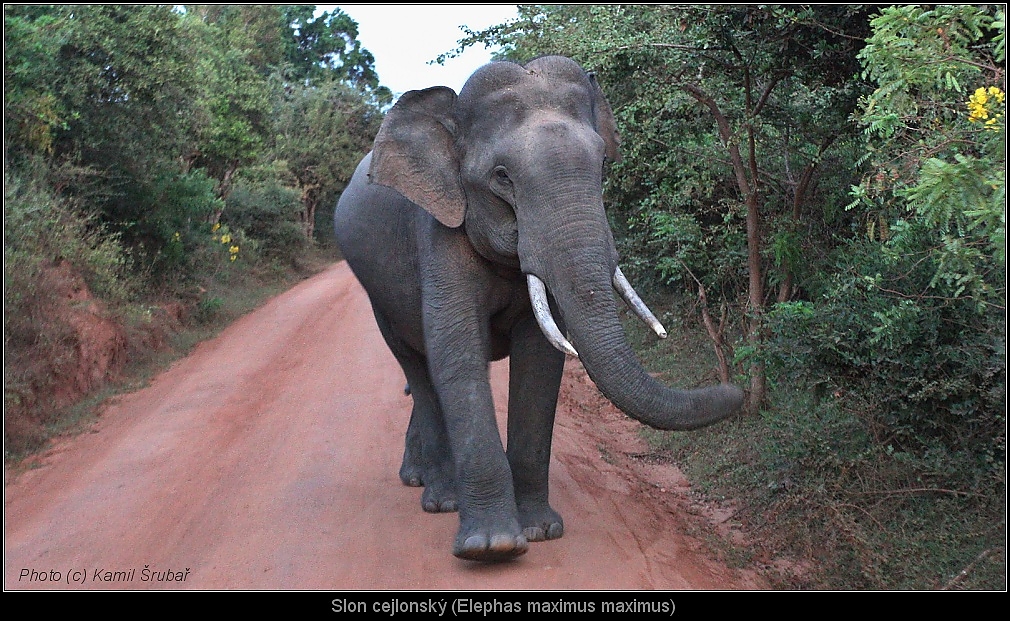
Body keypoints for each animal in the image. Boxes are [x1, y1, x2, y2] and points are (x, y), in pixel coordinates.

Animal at [331, 54, 743, 565]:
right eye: (502, 177)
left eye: (603, 163)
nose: (737, 391)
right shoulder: (438, 231)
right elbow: (458, 355)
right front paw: (493, 547)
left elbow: (541, 361)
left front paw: (541, 531)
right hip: (376, 293)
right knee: (418, 368)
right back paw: (440, 499)